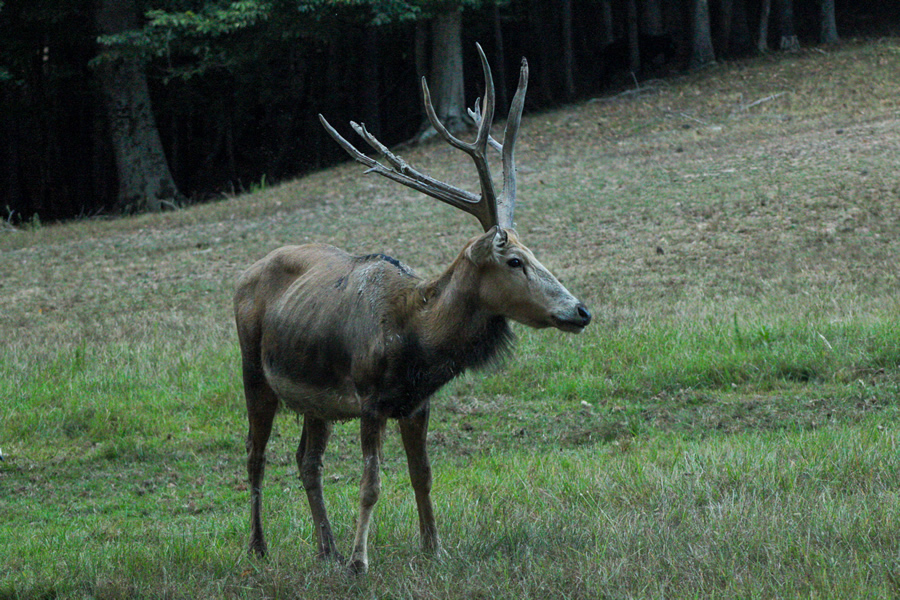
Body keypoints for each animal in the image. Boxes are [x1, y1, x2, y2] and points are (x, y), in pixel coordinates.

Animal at [233, 43, 591, 575]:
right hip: (254, 371)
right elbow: (371, 484)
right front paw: (360, 562)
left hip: (316, 401)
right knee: (256, 456)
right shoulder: (369, 398)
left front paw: (433, 547)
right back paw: (260, 547)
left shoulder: (417, 403)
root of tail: (243, 275)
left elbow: (422, 474)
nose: (580, 311)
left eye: (534, 251)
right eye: (514, 260)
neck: (418, 342)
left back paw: (326, 548)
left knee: (306, 461)